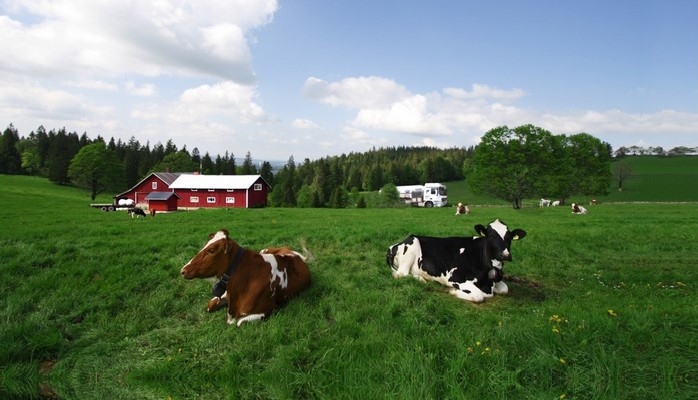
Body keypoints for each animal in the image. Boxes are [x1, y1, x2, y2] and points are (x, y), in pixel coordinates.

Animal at [179, 230, 310, 326]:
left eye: (211, 250)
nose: (183, 271)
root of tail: (294, 253)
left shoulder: (267, 309)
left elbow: (240, 323)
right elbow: (210, 305)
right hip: (264, 250)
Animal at [384, 220, 524, 302]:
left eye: (509, 237)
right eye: (490, 236)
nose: (505, 255)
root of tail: (396, 244)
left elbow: (505, 289)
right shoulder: (454, 277)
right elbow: (479, 296)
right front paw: (454, 291)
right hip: (412, 247)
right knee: (401, 274)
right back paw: (420, 279)